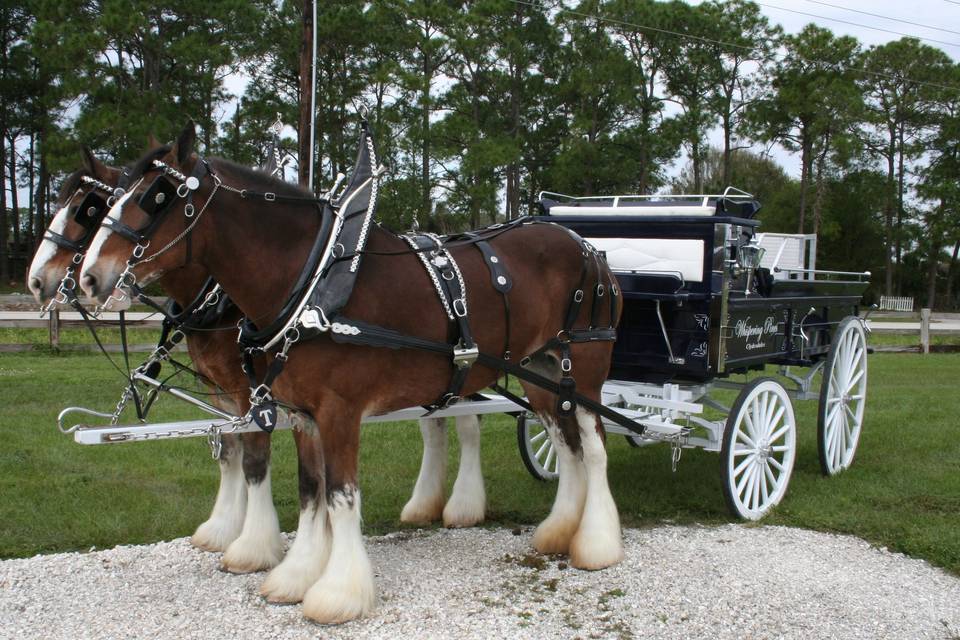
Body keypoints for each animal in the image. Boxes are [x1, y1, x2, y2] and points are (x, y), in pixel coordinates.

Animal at [28, 146, 488, 568]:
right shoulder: (224, 393)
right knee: (435, 423)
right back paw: (424, 504)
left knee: (466, 424)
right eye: (102, 206)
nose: (39, 282)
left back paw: (463, 506)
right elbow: (230, 455)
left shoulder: (252, 395)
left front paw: (252, 546)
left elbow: (254, 461)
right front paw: (223, 530)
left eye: (88, 209)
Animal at [80, 122, 624, 624]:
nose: (88, 277)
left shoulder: (339, 412)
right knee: (567, 445)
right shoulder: (301, 413)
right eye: (113, 195)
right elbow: (310, 491)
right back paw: (559, 532)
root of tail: (586, 247)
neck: (313, 283)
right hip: (540, 373)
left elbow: (340, 496)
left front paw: (338, 592)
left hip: (586, 369)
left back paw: (597, 545)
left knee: (595, 447)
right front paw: (297, 574)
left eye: (156, 196)